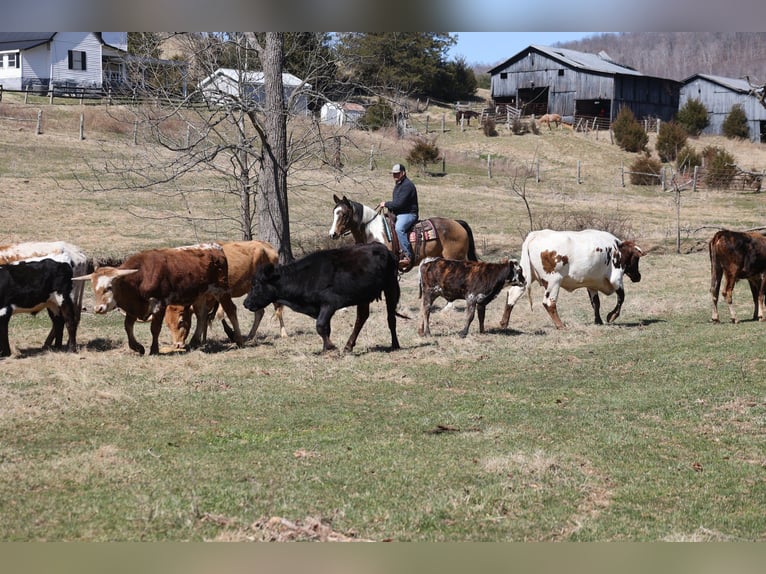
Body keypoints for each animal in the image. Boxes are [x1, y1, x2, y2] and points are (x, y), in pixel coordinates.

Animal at [74, 243, 243, 356]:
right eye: (93, 287)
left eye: (109, 287)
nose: (98, 309)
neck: (141, 276)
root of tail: (215, 248)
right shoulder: (134, 307)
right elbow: (128, 326)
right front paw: (137, 347)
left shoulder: (159, 304)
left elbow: (154, 328)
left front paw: (154, 350)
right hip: (200, 295)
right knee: (201, 316)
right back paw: (194, 342)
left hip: (221, 290)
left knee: (231, 310)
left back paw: (239, 339)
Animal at [244, 242, 402, 354]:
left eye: (256, 285)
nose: (245, 303)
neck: (304, 277)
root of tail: (387, 250)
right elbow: (326, 328)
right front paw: (325, 348)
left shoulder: (329, 304)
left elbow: (320, 326)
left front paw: (331, 346)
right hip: (364, 295)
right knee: (361, 318)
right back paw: (348, 346)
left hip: (391, 287)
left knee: (391, 318)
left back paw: (395, 344)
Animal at [332, 195, 480, 274]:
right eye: (334, 212)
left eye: (344, 214)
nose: (332, 234)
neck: (370, 230)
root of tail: (458, 223)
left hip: (455, 257)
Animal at [500, 228, 644, 328]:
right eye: (636, 258)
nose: (638, 276)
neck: (617, 248)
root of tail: (536, 235)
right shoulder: (616, 278)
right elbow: (621, 298)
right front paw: (612, 316)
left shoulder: (592, 283)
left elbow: (596, 303)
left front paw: (598, 321)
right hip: (553, 281)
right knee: (549, 303)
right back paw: (560, 325)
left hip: (525, 276)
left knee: (512, 295)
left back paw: (504, 323)